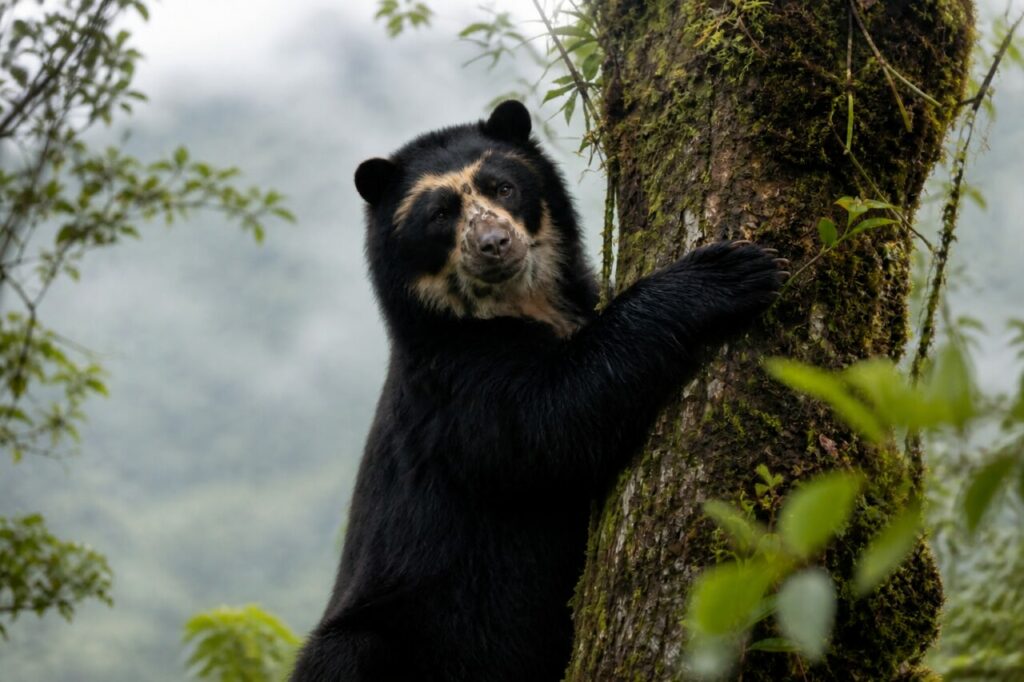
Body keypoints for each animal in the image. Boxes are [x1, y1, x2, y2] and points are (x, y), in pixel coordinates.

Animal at [291, 100, 787, 682]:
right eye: (439, 215)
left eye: (503, 187)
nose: (493, 244)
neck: (517, 304)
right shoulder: (456, 384)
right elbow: (548, 425)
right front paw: (731, 271)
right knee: (350, 652)